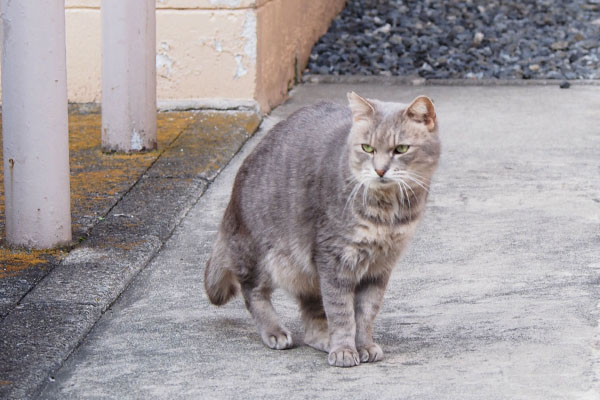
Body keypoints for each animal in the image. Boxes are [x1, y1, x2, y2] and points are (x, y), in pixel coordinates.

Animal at [206, 92, 440, 368]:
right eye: (367, 148)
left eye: (401, 149)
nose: (380, 170)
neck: (387, 213)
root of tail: (230, 205)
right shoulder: (334, 259)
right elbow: (341, 313)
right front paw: (344, 351)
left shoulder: (380, 267)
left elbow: (365, 313)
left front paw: (364, 345)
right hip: (261, 256)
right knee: (253, 293)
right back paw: (275, 332)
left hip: (307, 272)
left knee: (311, 322)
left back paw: (323, 339)